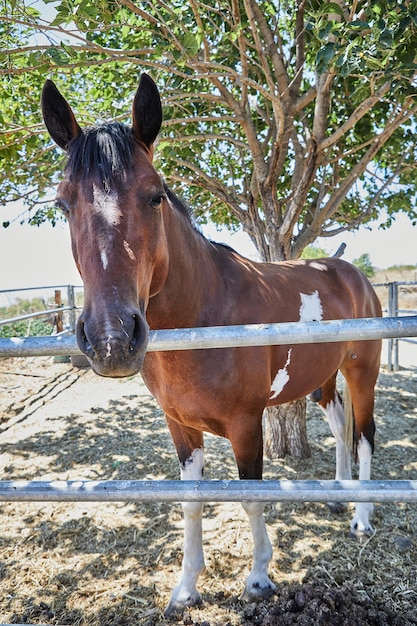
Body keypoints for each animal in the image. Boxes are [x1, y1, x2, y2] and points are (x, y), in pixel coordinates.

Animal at [40, 72, 382, 616]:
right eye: (62, 202)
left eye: (155, 195)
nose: (112, 339)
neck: (205, 314)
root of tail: (348, 271)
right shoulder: (180, 428)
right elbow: (191, 502)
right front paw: (185, 589)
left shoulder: (246, 424)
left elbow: (250, 497)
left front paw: (259, 579)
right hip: (323, 378)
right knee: (338, 423)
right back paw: (336, 493)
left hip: (362, 370)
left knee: (365, 435)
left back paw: (362, 518)